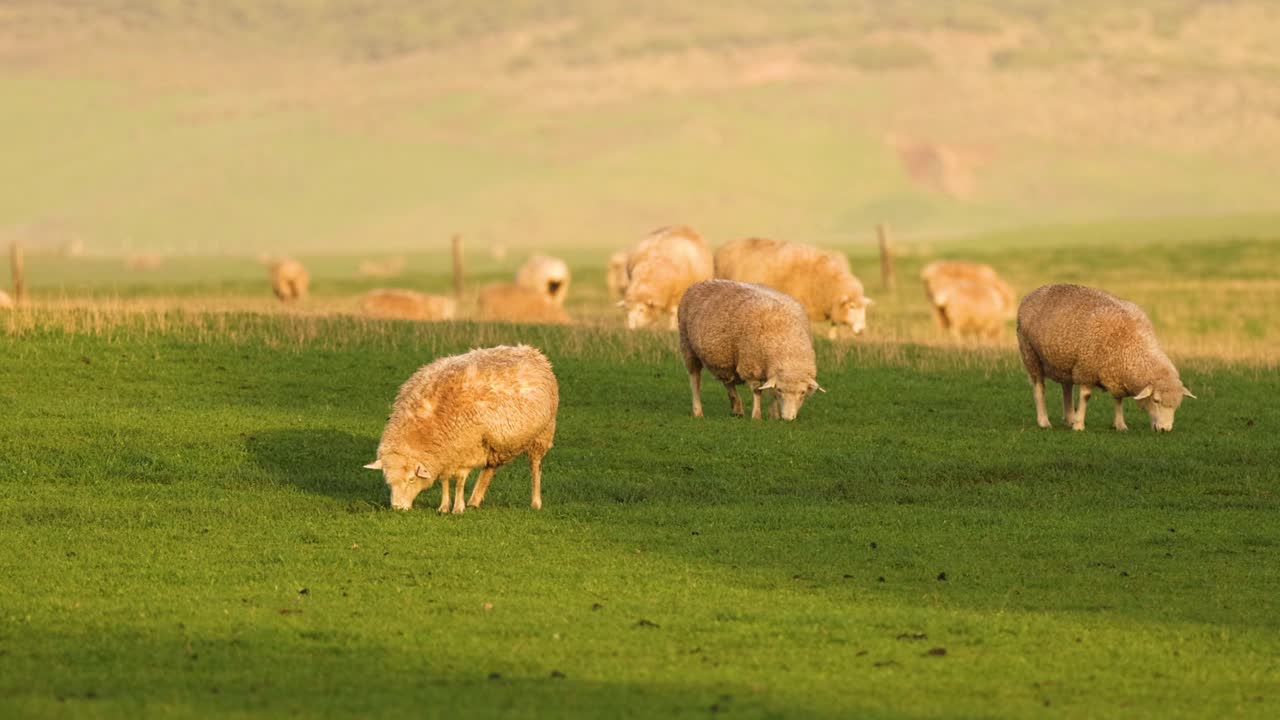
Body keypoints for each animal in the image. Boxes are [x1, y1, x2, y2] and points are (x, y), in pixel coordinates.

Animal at [364, 345, 559, 512]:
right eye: (388, 481)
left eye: (411, 479)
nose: (397, 508)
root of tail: (533, 352)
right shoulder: (445, 455)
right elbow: (444, 480)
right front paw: (443, 507)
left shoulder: (465, 449)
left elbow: (459, 481)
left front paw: (457, 508)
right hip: (496, 444)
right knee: (490, 468)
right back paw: (475, 500)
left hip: (542, 434)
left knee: (535, 467)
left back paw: (535, 502)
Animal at [678, 279, 824, 421]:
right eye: (780, 390)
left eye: (803, 392)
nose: (788, 419)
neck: (787, 348)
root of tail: (701, 282)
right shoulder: (751, 366)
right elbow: (757, 390)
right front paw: (757, 416)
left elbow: (769, 390)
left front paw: (774, 416)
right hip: (688, 348)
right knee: (695, 380)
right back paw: (698, 411)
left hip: (725, 357)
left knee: (728, 381)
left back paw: (737, 409)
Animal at [714, 237, 873, 340]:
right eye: (852, 307)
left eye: (864, 308)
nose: (862, 330)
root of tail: (725, 246)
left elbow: (833, 325)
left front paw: (832, 338)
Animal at [1016, 284, 1196, 432]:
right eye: (1156, 401)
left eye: (1177, 405)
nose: (1165, 429)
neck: (1132, 346)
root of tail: (1032, 293)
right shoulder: (1087, 368)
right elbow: (1086, 396)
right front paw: (1079, 425)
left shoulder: (1116, 373)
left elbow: (1118, 399)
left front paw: (1120, 425)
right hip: (1031, 354)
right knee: (1039, 388)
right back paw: (1044, 421)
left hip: (1066, 362)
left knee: (1066, 387)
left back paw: (1069, 418)